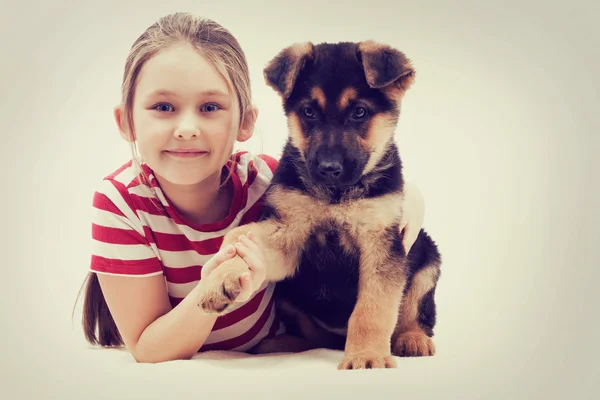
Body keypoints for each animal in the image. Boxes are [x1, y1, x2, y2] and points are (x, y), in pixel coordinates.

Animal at [200, 40, 440, 368]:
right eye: (309, 112)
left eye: (360, 112)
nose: (329, 169)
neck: (334, 196)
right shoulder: (288, 232)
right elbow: (239, 240)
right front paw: (220, 278)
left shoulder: (382, 244)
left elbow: (373, 308)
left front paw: (366, 356)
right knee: (314, 338)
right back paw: (281, 344)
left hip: (427, 257)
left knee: (416, 310)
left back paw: (413, 338)